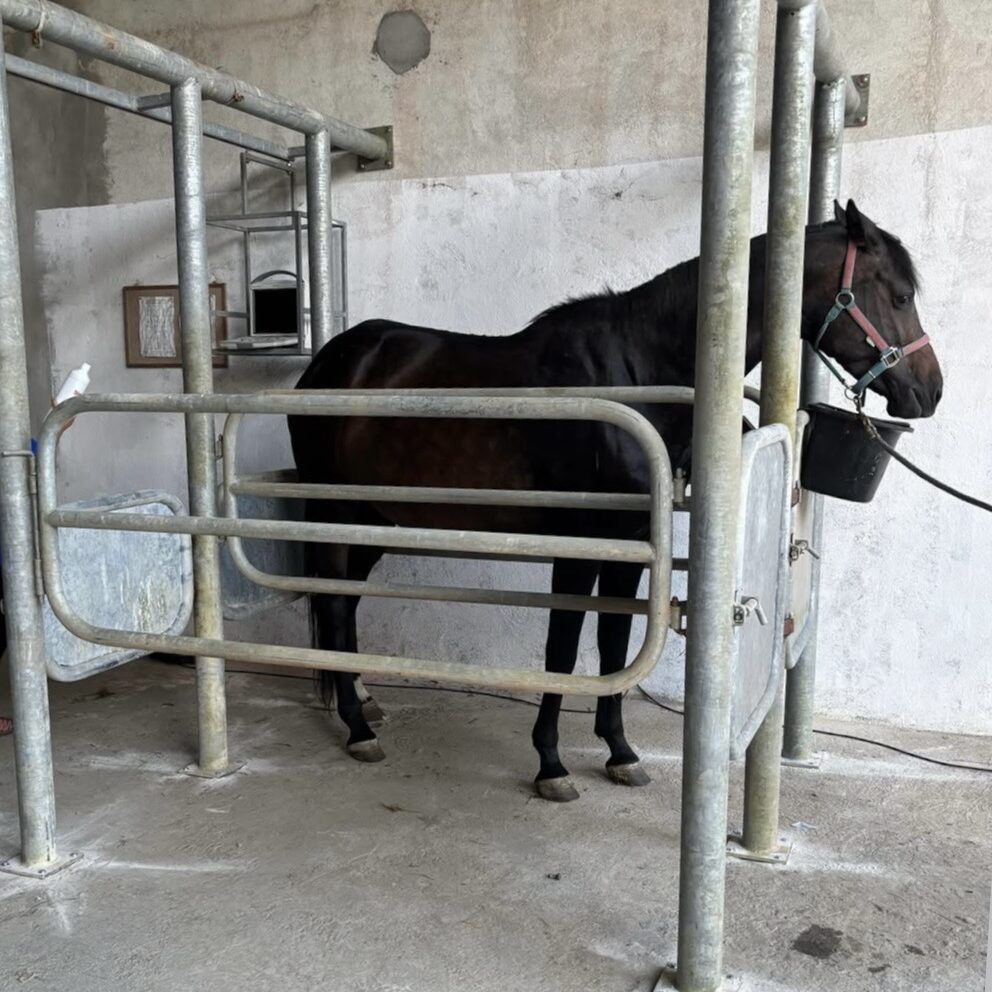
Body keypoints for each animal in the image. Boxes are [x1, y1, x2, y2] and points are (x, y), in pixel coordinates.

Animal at [288, 200, 943, 801]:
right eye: (901, 294)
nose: (930, 392)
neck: (634, 372)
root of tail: (329, 363)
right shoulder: (580, 542)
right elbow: (563, 646)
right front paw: (551, 765)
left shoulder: (632, 541)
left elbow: (614, 643)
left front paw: (620, 752)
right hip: (334, 511)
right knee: (334, 602)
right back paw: (357, 729)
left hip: (371, 518)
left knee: (344, 602)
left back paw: (363, 699)